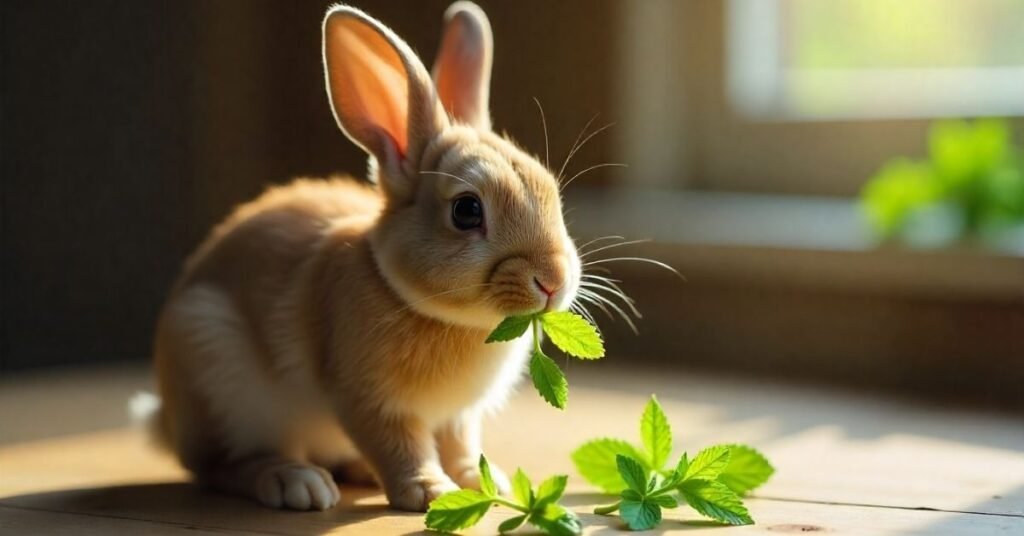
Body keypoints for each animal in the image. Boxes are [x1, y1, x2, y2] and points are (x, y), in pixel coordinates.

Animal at [140, 2, 582, 513]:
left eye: (549, 188)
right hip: (217, 373)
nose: (553, 280)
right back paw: (293, 481)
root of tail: (168, 421)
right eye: (467, 210)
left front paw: (481, 482)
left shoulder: (458, 416)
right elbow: (399, 445)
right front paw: (428, 491)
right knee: (219, 465)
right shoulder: (370, 399)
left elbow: (459, 444)